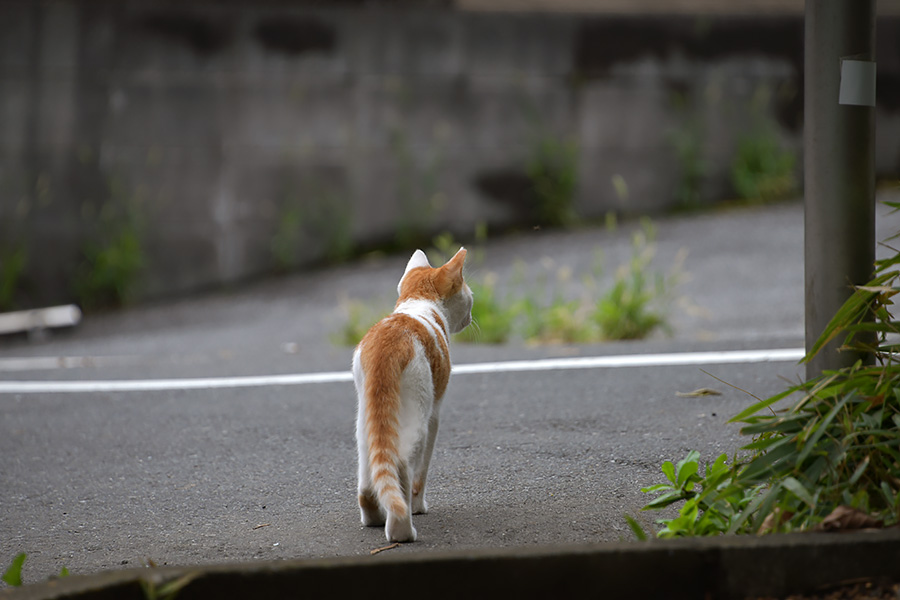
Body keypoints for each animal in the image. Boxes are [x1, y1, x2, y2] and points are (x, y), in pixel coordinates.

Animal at [352, 248, 474, 544]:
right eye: (470, 296)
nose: (471, 315)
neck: (418, 303)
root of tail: (387, 346)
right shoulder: (434, 413)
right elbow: (422, 472)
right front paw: (419, 507)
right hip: (416, 415)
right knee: (402, 465)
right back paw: (403, 527)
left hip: (365, 418)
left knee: (369, 469)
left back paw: (373, 516)